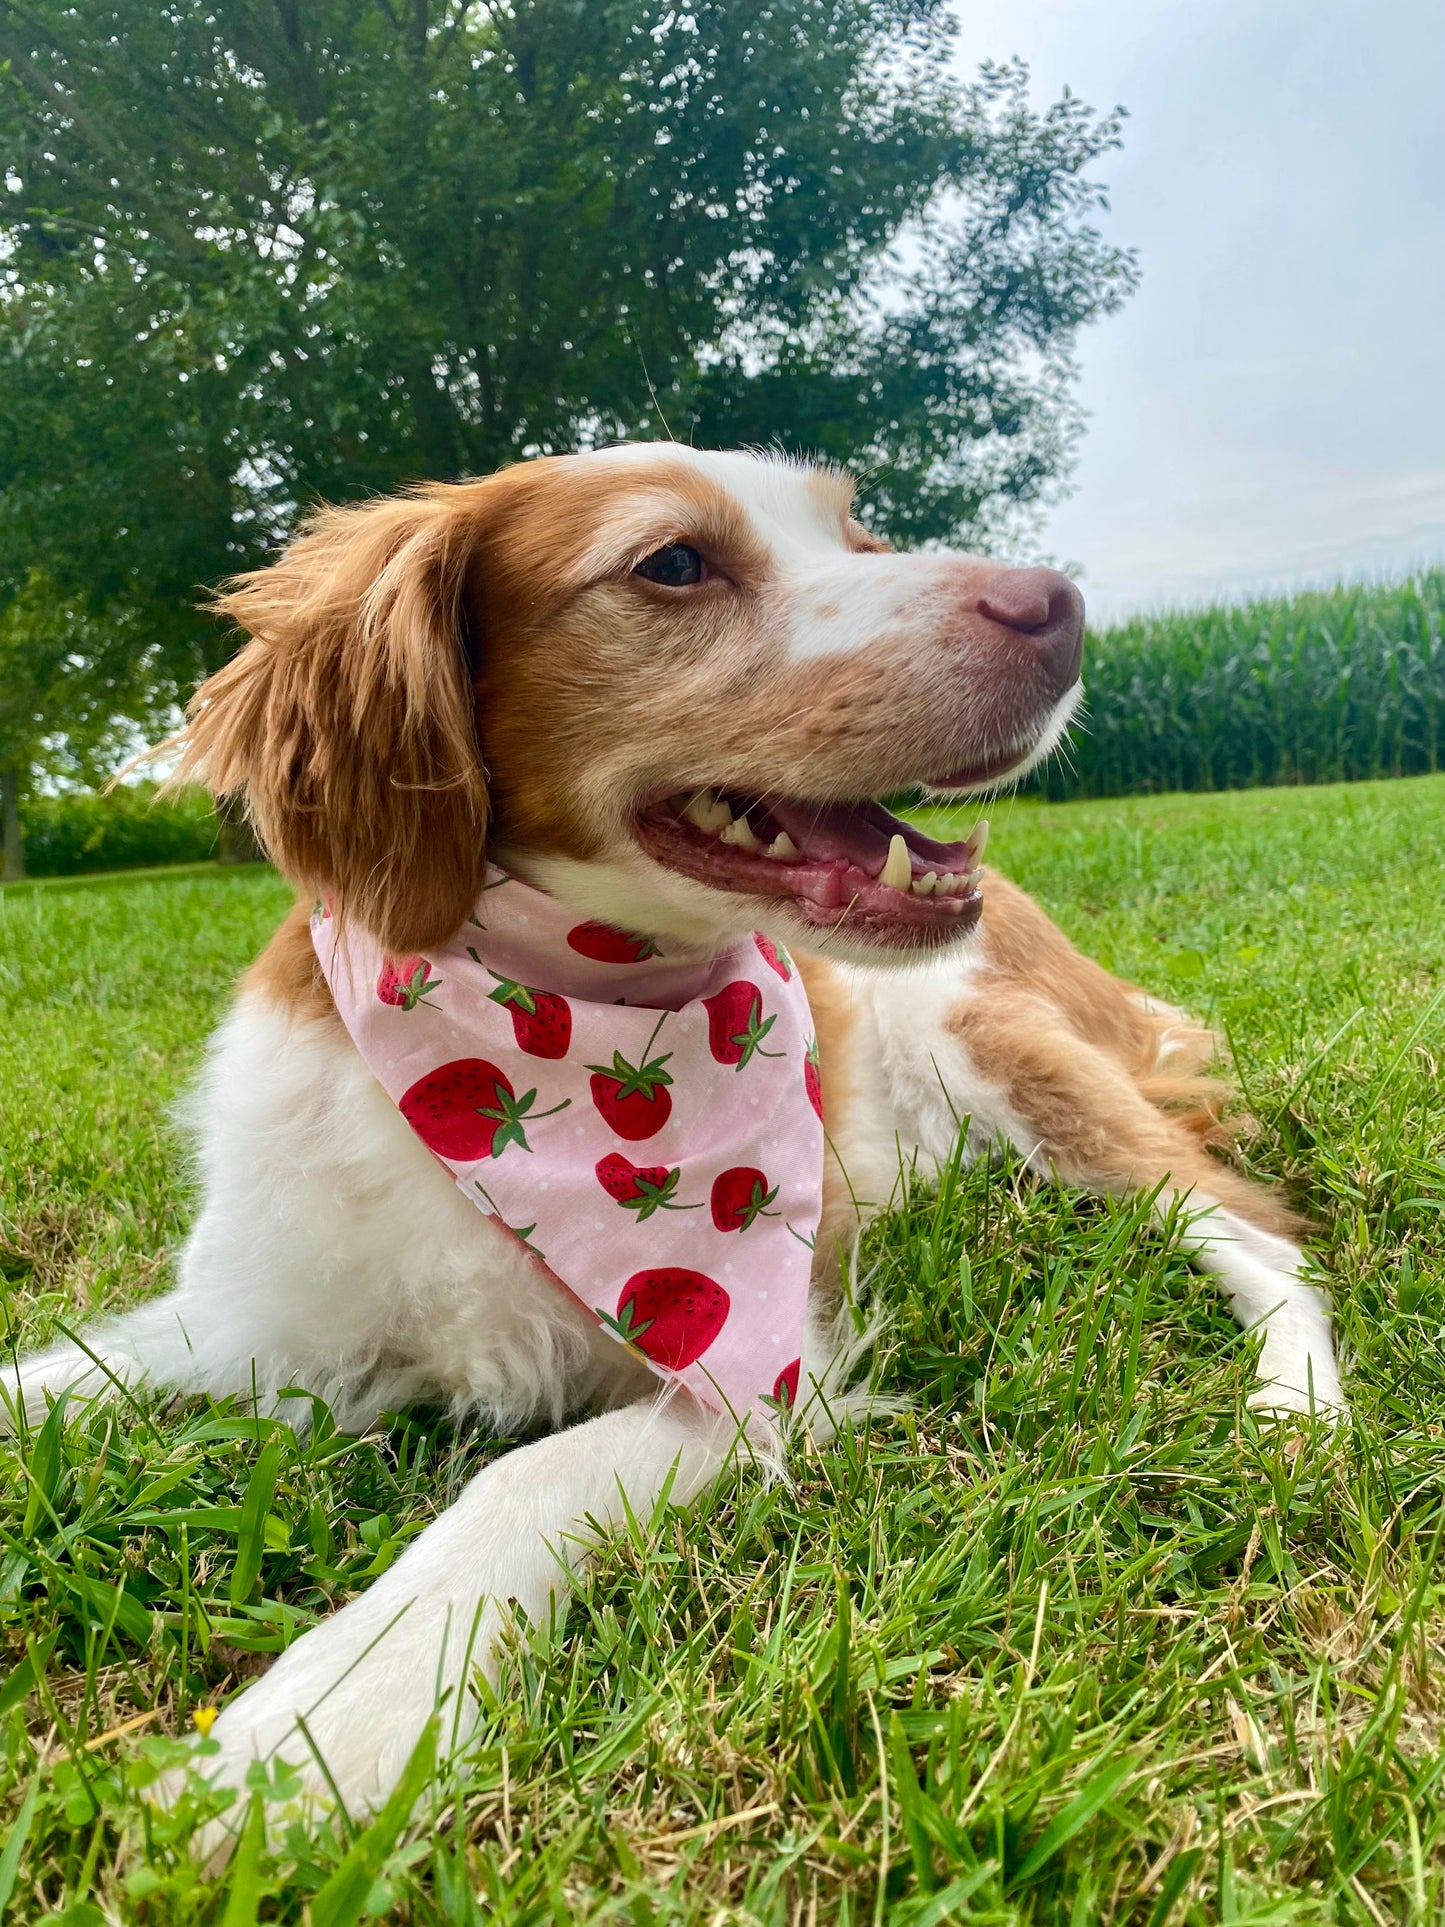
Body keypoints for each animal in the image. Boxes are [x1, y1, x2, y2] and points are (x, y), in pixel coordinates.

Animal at [5, 443, 1356, 1826]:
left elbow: (516, 1476)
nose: (1061, 607)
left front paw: (321, 1719)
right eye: (671, 562)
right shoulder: (252, 1315)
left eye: (856, 536)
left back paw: (1289, 1410)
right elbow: (56, 1374)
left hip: (999, 1045)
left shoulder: (751, 1361)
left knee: (1259, 1236)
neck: (547, 1021)